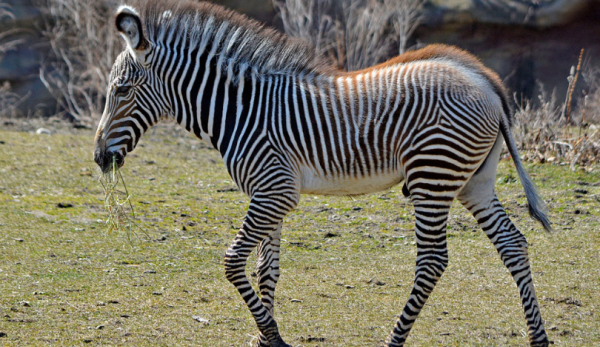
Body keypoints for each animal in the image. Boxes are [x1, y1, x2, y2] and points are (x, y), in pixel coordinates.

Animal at [95, 1, 552, 346]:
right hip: (475, 181)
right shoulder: (270, 193)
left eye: (121, 90)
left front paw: (274, 337)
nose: (99, 158)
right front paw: (264, 338)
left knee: (433, 259)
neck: (240, 110)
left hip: (433, 176)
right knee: (513, 244)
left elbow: (232, 261)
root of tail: (484, 79)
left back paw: (394, 339)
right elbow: (266, 268)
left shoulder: (274, 190)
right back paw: (538, 337)